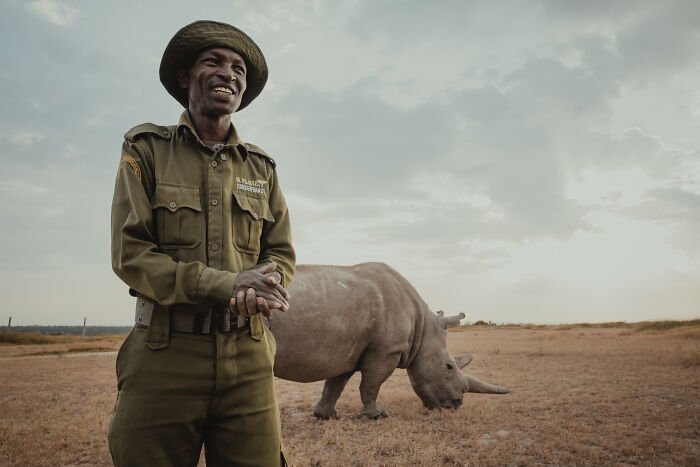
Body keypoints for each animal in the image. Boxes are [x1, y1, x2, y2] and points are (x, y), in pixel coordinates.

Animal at [267, 262, 510, 419]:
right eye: (449, 366)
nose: (456, 405)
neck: (423, 328)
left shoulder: (348, 350)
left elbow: (335, 384)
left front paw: (326, 416)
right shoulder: (387, 350)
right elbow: (371, 383)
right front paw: (377, 415)